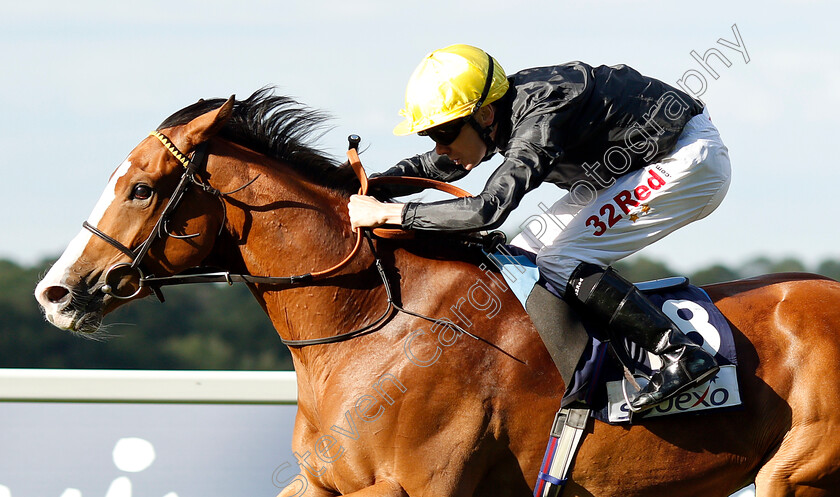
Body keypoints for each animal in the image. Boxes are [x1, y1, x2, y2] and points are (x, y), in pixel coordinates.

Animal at [36, 90, 840, 496]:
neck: (374, 324)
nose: (55, 291)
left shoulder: (418, 485)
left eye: (141, 188)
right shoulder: (326, 483)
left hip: (797, 473)